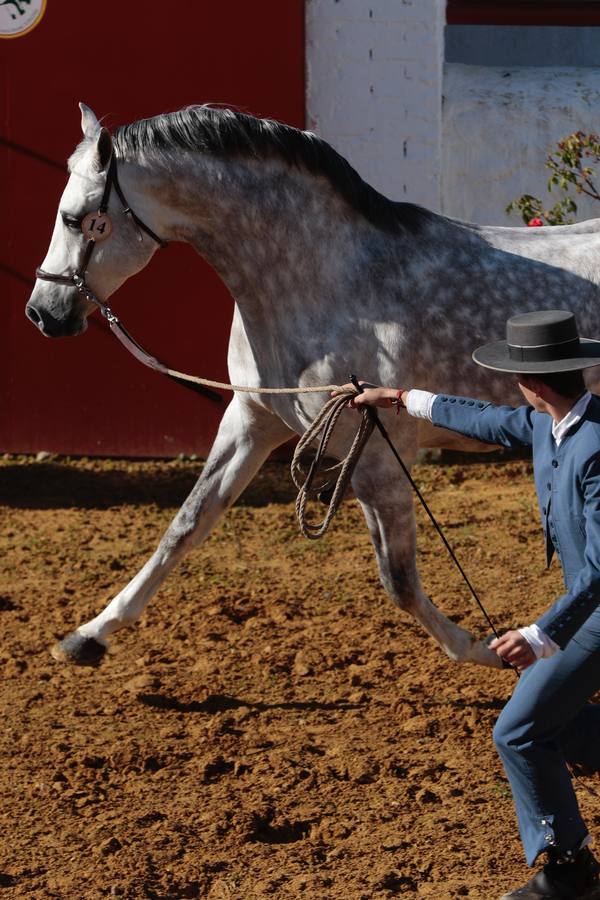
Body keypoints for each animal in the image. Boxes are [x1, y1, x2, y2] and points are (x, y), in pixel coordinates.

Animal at [28, 103, 600, 668]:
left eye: (76, 219)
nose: (43, 313)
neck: (329, 280)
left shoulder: (379, 459)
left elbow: (399, 580)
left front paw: (482, 649)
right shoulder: (251, 424)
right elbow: (186, 524)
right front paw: (89, 636)